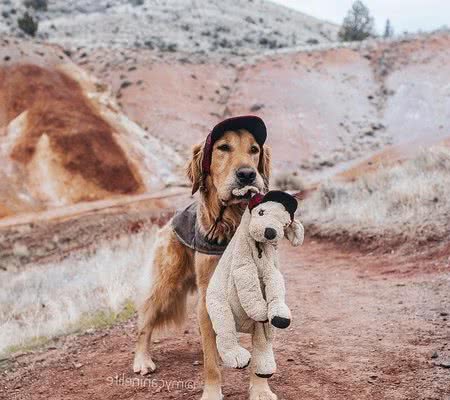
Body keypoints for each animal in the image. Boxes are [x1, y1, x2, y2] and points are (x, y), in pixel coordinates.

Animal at [132, 115, 278, 396]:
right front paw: (212, 393)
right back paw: (142, 359)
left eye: (254, 150)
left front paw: (260, 391)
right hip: (166, 283)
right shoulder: (207, 297)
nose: (247, 174)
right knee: (146, 319)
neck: (233, 223)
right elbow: (210, 363)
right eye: (223, 148)